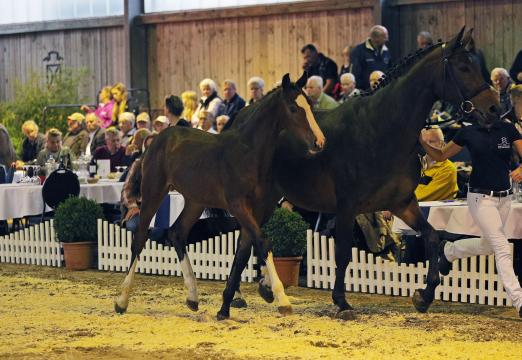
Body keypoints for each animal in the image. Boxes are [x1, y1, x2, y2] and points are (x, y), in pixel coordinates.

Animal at [115, 73, 322, 318]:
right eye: (293, 108)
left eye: (309, 105)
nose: (319, 142)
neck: (249, 153)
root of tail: (158, 139)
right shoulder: (238, 205)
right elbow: (261, 242)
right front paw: (282, 299)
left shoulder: (257, 210)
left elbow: (246, 248)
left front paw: (248, 296)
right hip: (153, 192)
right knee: (140, 238)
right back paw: (122, 301)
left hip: (195, 201)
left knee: (176, 233)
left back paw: (192, 297)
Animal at [231, 28, 500, 320]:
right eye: (463, 67)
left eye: (476, 64)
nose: (495, 108)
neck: (379, 129)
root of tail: (242, 116)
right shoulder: (347, 206)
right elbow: (343, 253)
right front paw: (342, 302)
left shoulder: (403, 204)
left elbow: (431, 237)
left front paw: (424, 296)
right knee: (244, 239)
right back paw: (240, 295)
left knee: (249, 238)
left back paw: (265, 287)